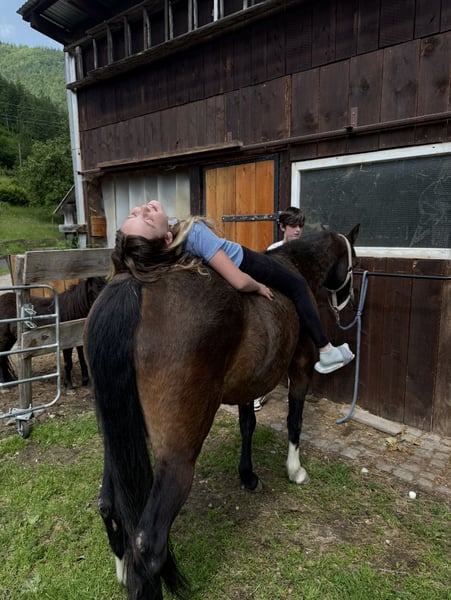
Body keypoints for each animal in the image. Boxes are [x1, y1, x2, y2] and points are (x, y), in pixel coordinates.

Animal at [85, 225, 359, 600]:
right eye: (353, 261)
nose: (347, 299)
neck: (296, 264)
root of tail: (134, 286)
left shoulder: (248, 384)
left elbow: (248, 424)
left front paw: (248, 475)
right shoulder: (301, 368)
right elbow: (294, 421)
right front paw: (295, 470)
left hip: (117, 439)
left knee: (109, 507)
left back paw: (124, 572)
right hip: (177, 457)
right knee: (147, 543)